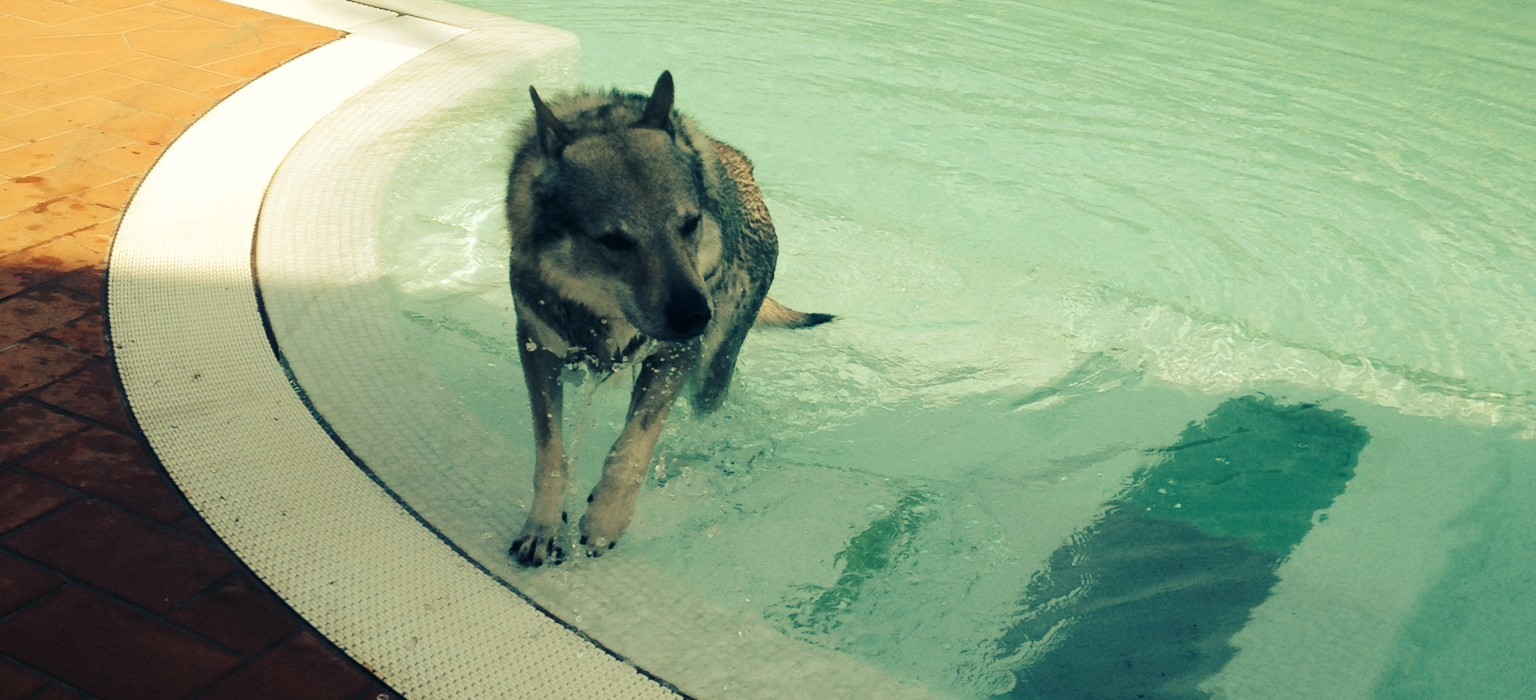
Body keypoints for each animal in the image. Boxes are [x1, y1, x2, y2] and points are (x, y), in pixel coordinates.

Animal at [503, 70, 829, 564]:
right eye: (615, 241)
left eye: (689, 224)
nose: (697, 316)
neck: (605, 309)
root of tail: (741, 164)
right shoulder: (539, 350)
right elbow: (551, 452)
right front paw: (542, 529)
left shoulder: (673, 358)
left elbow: (634, 446)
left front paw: (605, 520)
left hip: (711, 370)